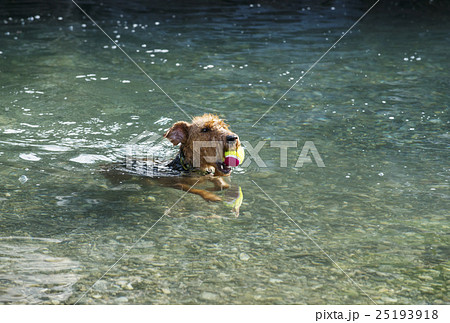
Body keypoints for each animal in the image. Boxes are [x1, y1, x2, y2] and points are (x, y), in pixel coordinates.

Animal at [104, 114, 243, 204]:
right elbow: (194, 189)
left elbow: (221, 183)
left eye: (224, 126)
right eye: (205, 129)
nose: (233, 137)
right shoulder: (173, 183)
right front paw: (211, 196)